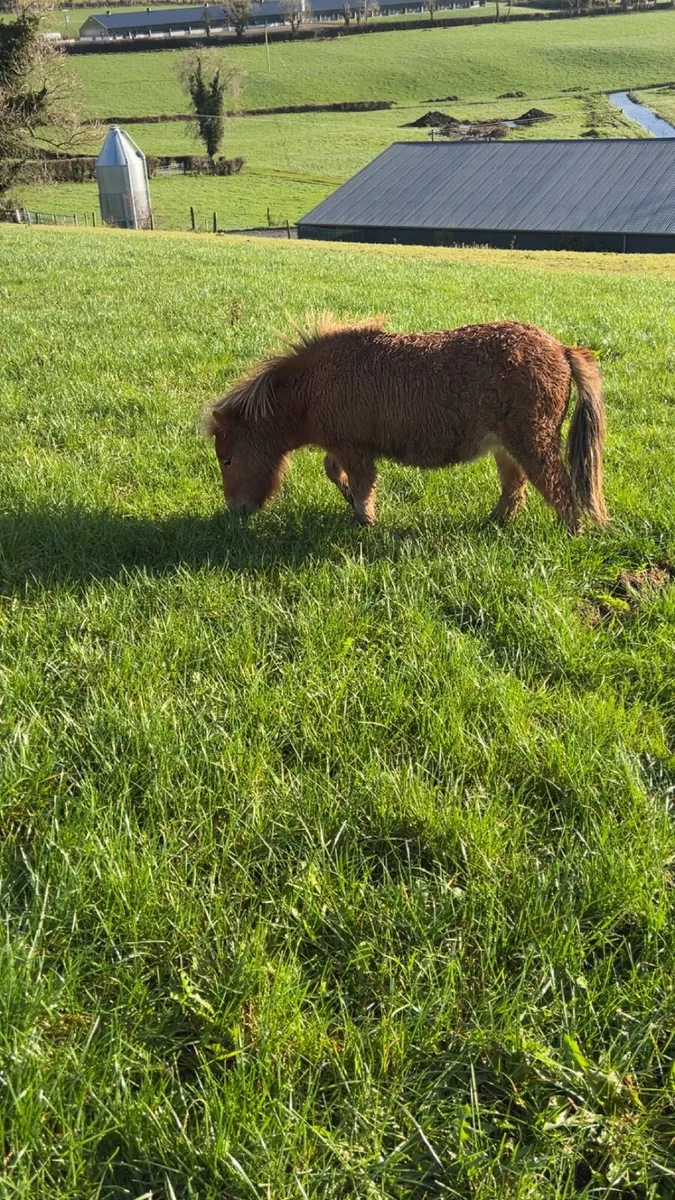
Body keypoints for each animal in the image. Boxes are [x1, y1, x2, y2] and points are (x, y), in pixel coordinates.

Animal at [206, 316, 607, 532]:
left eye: (227, 459)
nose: (236, 511)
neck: (313, 385)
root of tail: (561, 349)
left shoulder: (355, 451)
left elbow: (361, 484)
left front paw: (364, 519)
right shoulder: (343, 447)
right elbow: (333, 471)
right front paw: (351, 503)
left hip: (533, 443)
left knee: (559, 489)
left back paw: (571, 534)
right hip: (507, 447)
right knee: (515, 489)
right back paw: (494, 522)